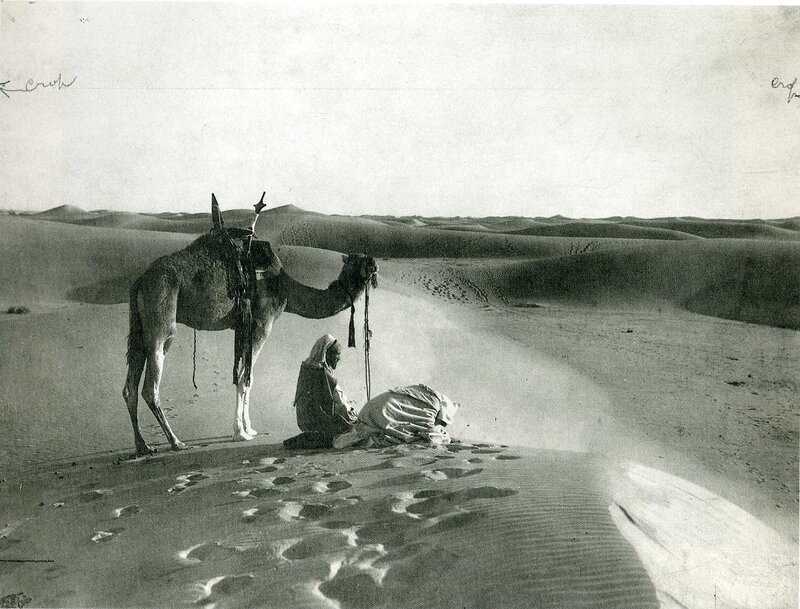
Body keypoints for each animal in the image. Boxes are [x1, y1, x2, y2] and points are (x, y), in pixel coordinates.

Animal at [122, 201, 378, 456]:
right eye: (360, 261)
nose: (375, 265)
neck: (284, 287)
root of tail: (140, 280)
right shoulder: (262, 324)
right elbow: (247, 378)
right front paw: (241, 432)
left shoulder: (244, 327)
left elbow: (245, 377)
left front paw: (248, 428)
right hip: (161, 316)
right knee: (150, 384)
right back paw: (175, 442)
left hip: (138, 326)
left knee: (130, 386)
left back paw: (143, 445)